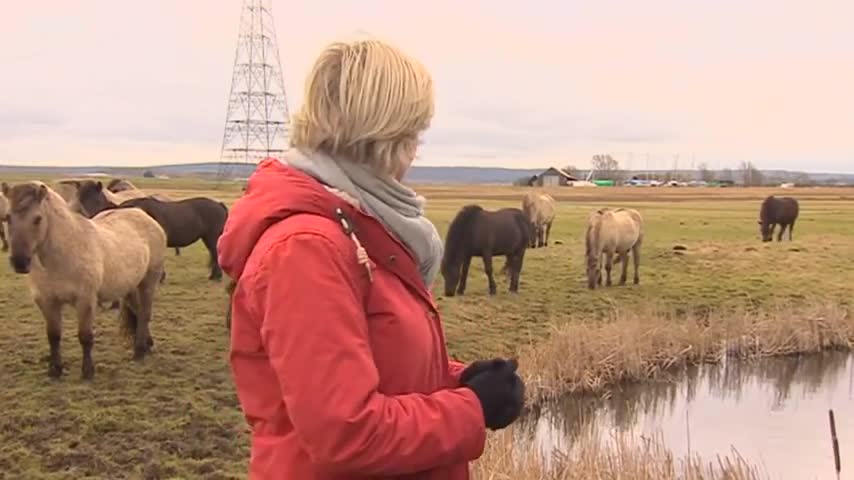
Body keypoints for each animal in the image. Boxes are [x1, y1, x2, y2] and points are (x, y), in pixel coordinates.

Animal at [2, 180, 168, 378]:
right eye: (7, 218)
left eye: (37, 219)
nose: (19, 262)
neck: (61, 256)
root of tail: (146, 217)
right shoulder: (47, 302)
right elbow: (53, 336)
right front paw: (55, 370)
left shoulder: (85, 300)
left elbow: (85, 336)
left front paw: (88, 371)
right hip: (130, 286)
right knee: (137, 311)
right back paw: (147, 344)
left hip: (148, 281)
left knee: (144, 313)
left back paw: (140, 351)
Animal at [77, 183, 229, 282]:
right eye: (82, 199)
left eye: (95, 199)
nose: (87, 218)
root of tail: (219, 204)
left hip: (212, 237)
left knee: (215, 253)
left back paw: (216, 277)